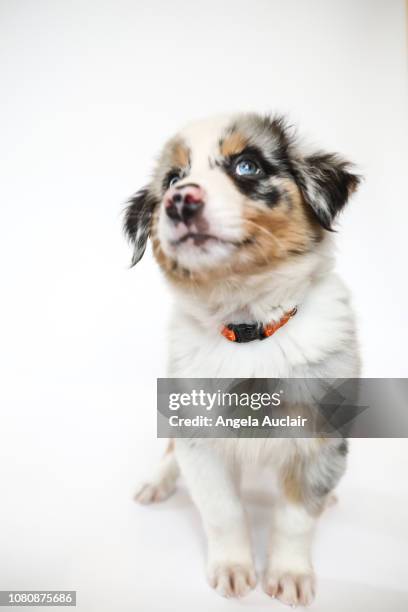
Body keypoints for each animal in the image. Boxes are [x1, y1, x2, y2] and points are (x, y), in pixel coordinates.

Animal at [124, 115, 360, 608]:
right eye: (172, 180)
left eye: (247, 166)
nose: (180, 200)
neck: (248, 328)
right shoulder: (200, 435)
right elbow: (223, 510)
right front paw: (234, 569)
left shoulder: (321, 434)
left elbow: (295, 517)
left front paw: (288, 575)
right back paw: (157, 482)